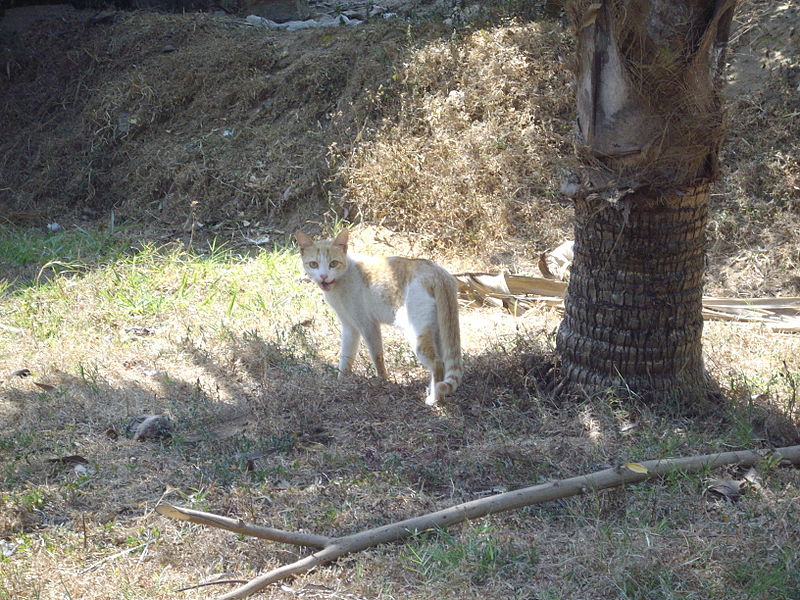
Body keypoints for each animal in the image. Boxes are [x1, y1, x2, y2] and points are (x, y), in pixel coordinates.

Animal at [296, 230, 462, 408]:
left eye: (333, 263)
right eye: (313, 264)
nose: (323, 276)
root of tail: (438, 273)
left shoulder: (368, 325)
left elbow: (377, 357)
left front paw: (382, 380)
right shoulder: (349, 328)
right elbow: (346, 357)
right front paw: (341, 381)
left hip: (417, 333)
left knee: (438, 364)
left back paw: (435, 399)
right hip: (437, 331)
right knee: (442, 362)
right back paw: (438, 396)